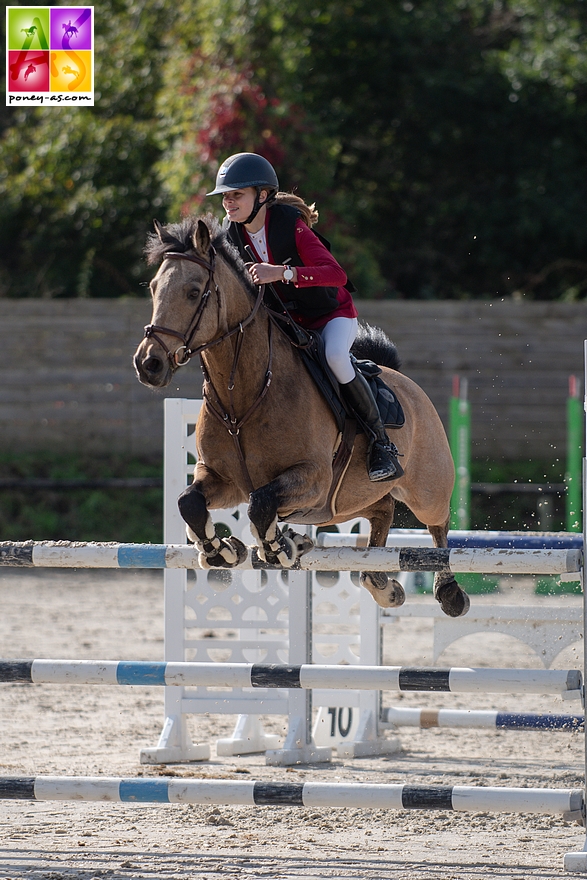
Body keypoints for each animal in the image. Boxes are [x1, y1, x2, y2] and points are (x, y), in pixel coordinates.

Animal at [132, 214, 468, 620]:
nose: (149, 364)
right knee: (382, 510)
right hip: (345, 501)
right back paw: (381, 584)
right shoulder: (224, 480)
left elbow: (261, 504)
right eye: (153, 288)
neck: (244, 396)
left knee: (438, 526)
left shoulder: (313, 478)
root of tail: (407, 384)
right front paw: (223, 550)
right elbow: (189, 502)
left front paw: (278, 548)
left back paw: (449, 593)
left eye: (194, 292)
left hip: (425, 488)